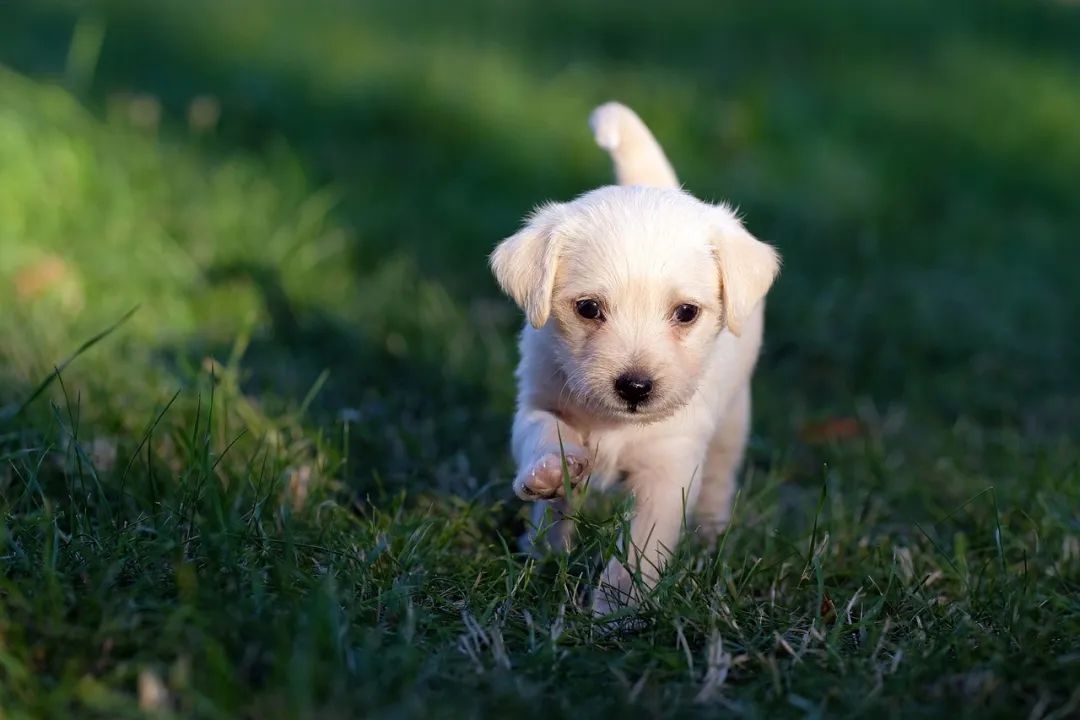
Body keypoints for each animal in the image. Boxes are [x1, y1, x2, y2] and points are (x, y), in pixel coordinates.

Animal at [488, 101, 777, 613]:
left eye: (686, 313)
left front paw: (616, 609)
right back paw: (542, 548)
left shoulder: (669, 470)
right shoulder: (538, 400)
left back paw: (710, 535)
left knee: (720, 478)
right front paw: (549, 474)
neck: (615, 424)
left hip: (733, 421)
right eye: (588, 308)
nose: (636, 387)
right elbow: (543, 433)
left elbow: (640, 548)